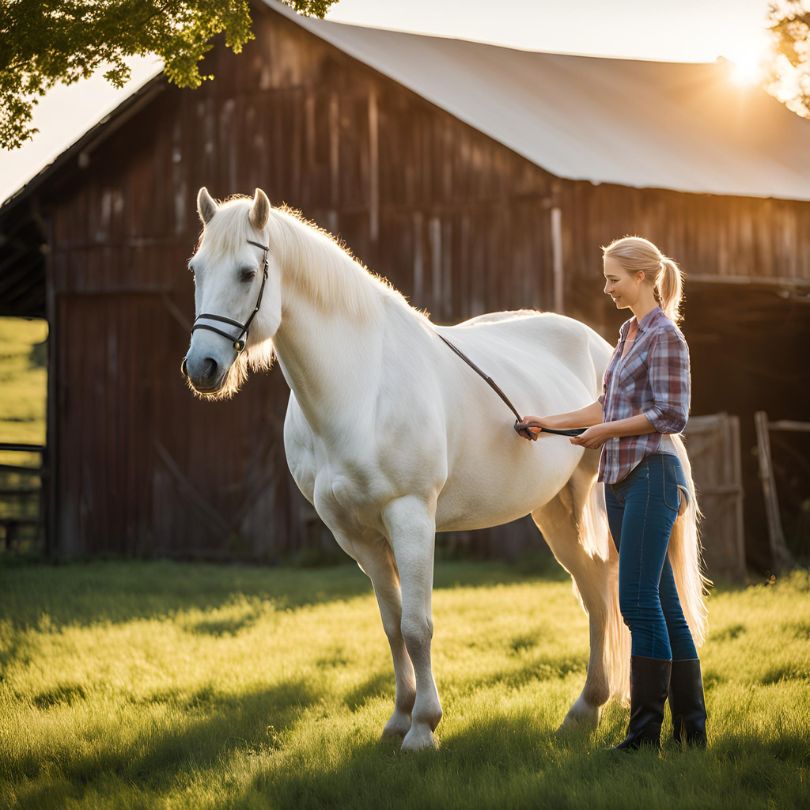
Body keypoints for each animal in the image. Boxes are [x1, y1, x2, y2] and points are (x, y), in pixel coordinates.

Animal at [185, 186, 708, 748]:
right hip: (552, 511)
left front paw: (423, 728)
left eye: (245, 273)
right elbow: (392, 626)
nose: (202, 367)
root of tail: (597, 343)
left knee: (610, 586)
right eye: (196, 269)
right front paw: (398, 718)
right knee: (596, 588)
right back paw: (585, 709)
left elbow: (419, 627)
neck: (362, 387)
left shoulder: (411, 515)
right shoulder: (354, 532)